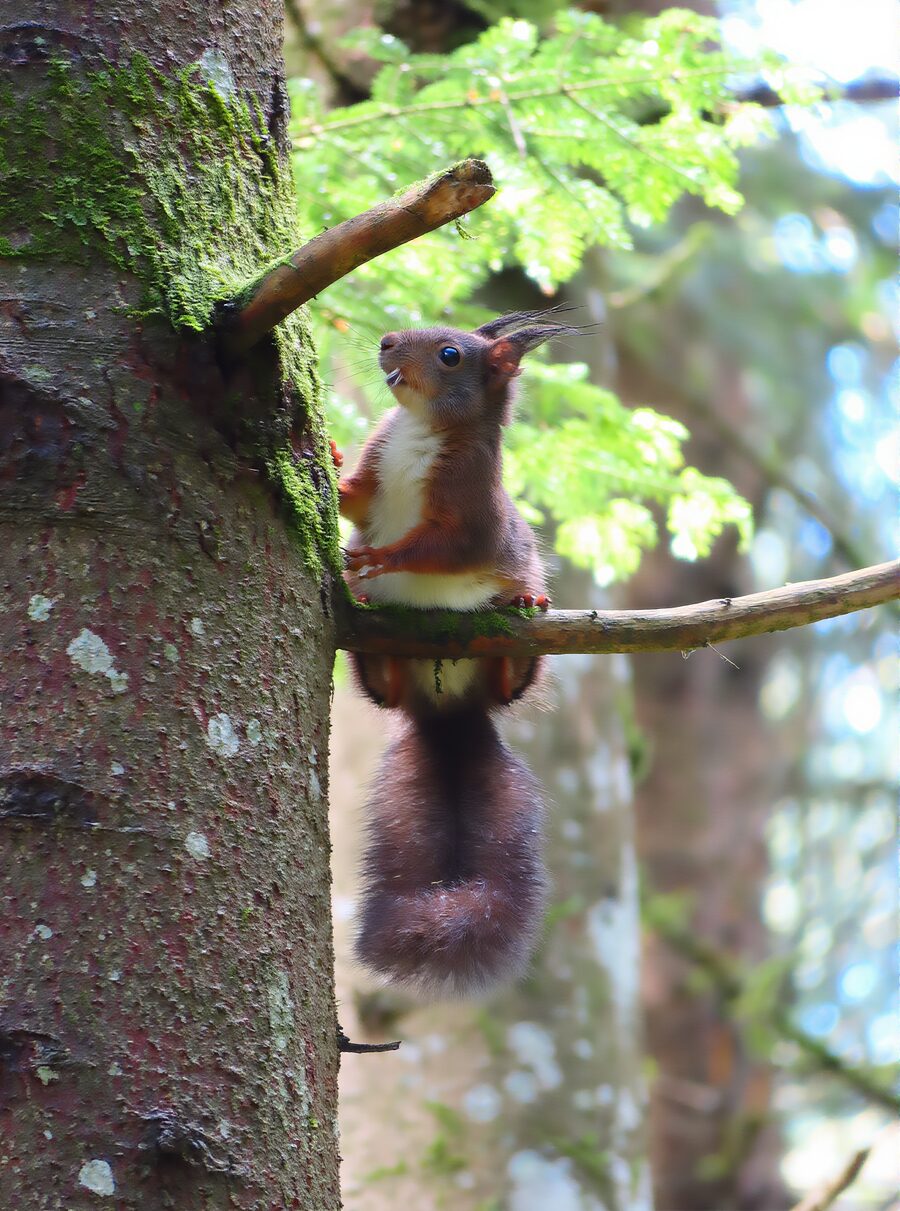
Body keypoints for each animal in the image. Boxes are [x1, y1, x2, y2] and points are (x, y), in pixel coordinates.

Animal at [337, 310, 573, 996]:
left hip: (507, 660)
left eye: (450, 355)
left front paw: (378, 557)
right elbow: (355, 500)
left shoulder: (469, 513)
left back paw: (524, 611)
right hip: (387, 669)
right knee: (382, 690)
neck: (420, 428)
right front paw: (328, 455)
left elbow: (435, 550)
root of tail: (448, 714)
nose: (387, 342)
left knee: (510, 685)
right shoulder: (378, 465)